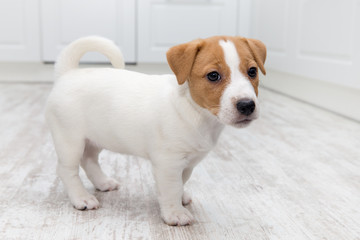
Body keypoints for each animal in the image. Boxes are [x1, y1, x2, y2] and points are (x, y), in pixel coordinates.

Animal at [45, 35, 266, 225]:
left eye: (252, 71)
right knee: (66, 170)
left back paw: (103, 182)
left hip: (95, 138)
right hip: (70, 140)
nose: (247, 105)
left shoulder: (187, 164)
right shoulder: (168, 163)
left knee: (89, 160)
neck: (195, 111)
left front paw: (180, 198)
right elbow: (171, 188)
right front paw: (175, 213)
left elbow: (181, 183)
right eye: (213, 75)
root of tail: (68, 73)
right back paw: (81, 198)